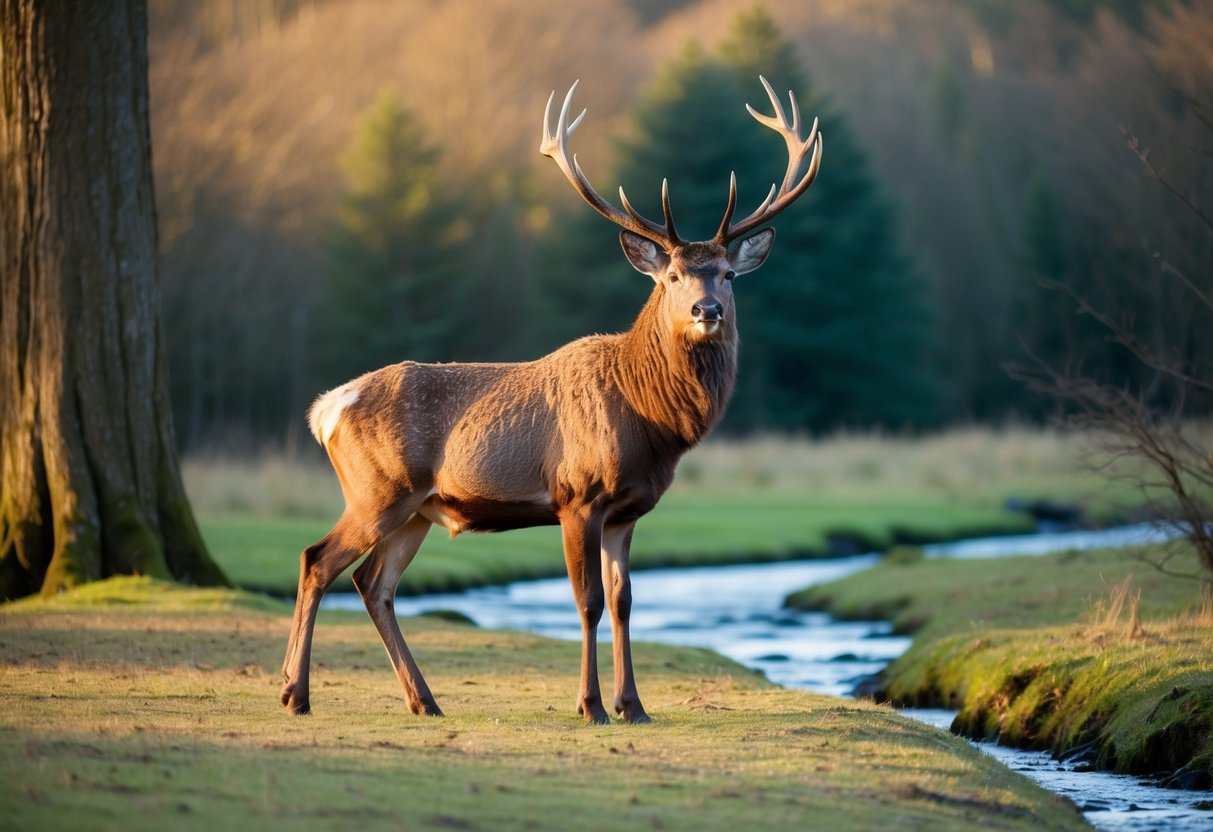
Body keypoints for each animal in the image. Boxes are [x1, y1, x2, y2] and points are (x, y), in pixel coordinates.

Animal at [279, 76, 822, 724]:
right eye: (671, 277)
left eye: (729, 275)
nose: (706, 309)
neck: (649, 422)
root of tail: (327, 408)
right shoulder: (576, 496)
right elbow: (587, 602)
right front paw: (591, 706)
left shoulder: (627, 511)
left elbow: (625, 602)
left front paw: (634, 706)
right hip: (377, 490)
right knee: (316, 559)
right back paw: (295, 693)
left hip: (416, 509)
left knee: (373, 584)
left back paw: (423, 701)